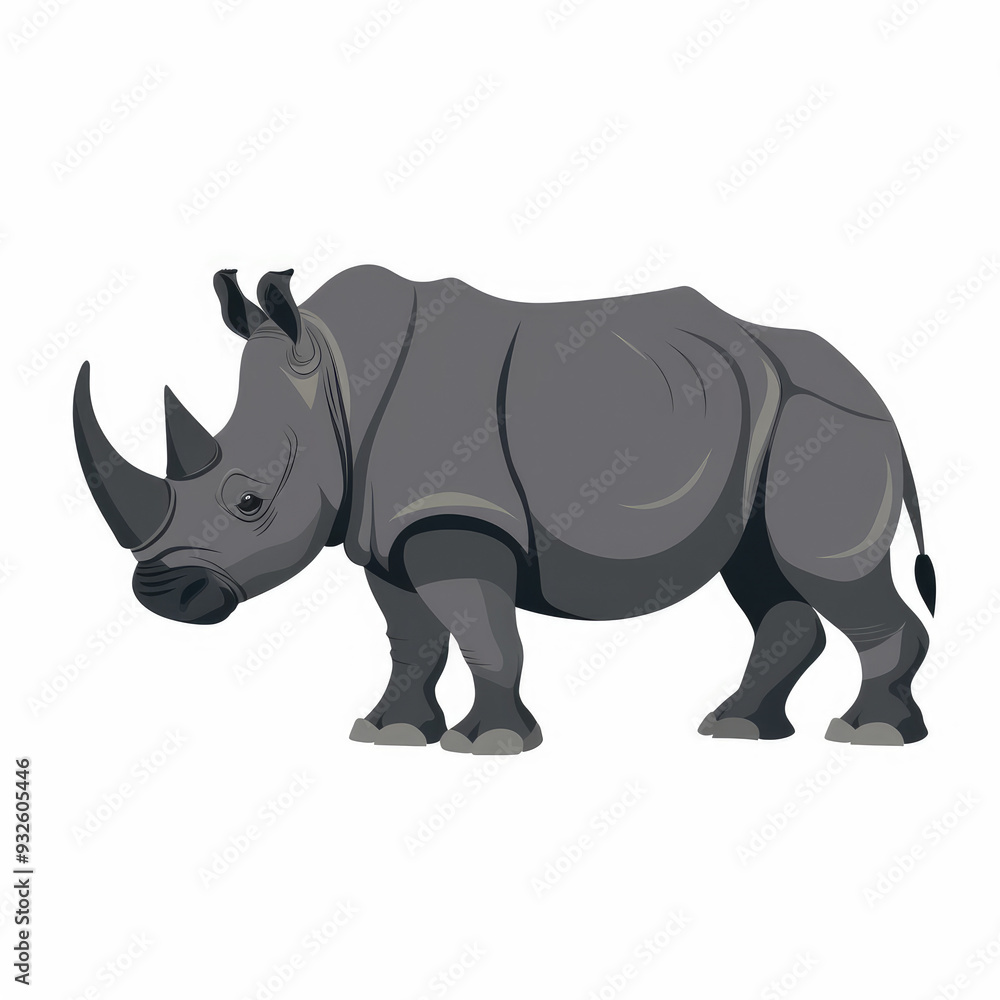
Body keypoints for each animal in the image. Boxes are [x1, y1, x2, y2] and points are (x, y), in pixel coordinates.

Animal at [73, 265, 936, 753]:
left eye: (249, 500)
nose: (162, 596)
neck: (336, 389)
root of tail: (880, 394)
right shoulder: (384, 533)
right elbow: (412, 637)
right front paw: (388, 734)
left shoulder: (456, 514)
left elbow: (481, 632)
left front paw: (486, 746)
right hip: (770, 419)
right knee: (762, 570)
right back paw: (737, 730)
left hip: (827, 420)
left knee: (823, 569)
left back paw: (869, 736)